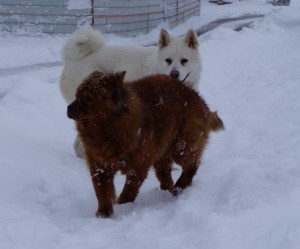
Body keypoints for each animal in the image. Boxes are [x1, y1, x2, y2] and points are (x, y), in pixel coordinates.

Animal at [67, 71, 223, 217]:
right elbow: (102, 192)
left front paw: (123, 206)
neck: (107, 130)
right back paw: (168, 190)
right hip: (162, 155)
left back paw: (179, 188)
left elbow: (129, 191)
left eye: (88, 99)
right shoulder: (99, 165)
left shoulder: (138, 165)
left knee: (192, 165)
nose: (68, 108)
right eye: (76, 95)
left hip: (182, 147)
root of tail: (201, 101)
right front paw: (103, 214)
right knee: (166, 175)